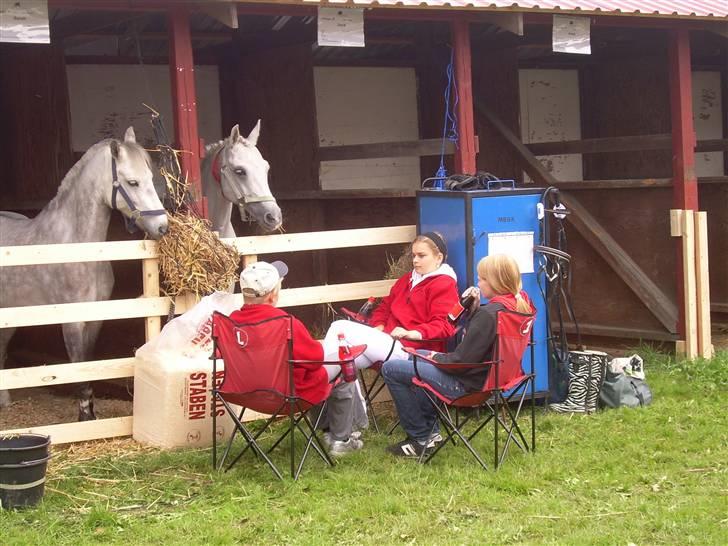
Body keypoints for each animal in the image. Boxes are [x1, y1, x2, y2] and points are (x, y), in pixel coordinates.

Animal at [0, 127, 168, 420]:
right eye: (133, 182)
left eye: (151, 177)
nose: (162, 226)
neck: (78, 247)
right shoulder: (72, 322)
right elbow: (77, 367)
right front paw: (85, 417)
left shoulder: (94, 319)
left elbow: (88, 364)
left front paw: (90, 413)